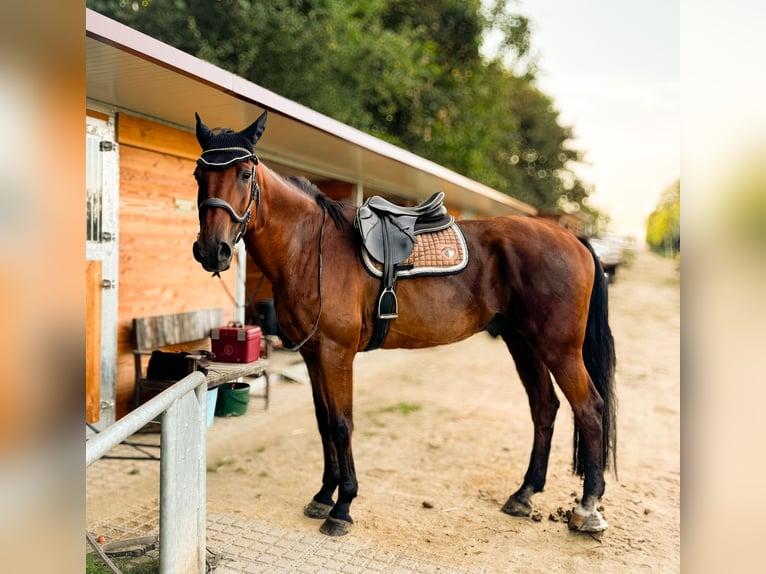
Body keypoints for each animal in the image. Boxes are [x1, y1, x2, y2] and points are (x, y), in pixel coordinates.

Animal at [192, 113, 616, 540]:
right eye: (198, 173)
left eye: (245, 173)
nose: (213, 251)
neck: (311, 249)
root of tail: (572, 238)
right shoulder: (313, 356)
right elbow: (323, 423)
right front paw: (324, 494)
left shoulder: (335, 354)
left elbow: (342, 424)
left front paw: (342, 506)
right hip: (523, 343)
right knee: (545, 407)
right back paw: (525, 493)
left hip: (558, 349)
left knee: (590, 408)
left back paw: (587, 508)